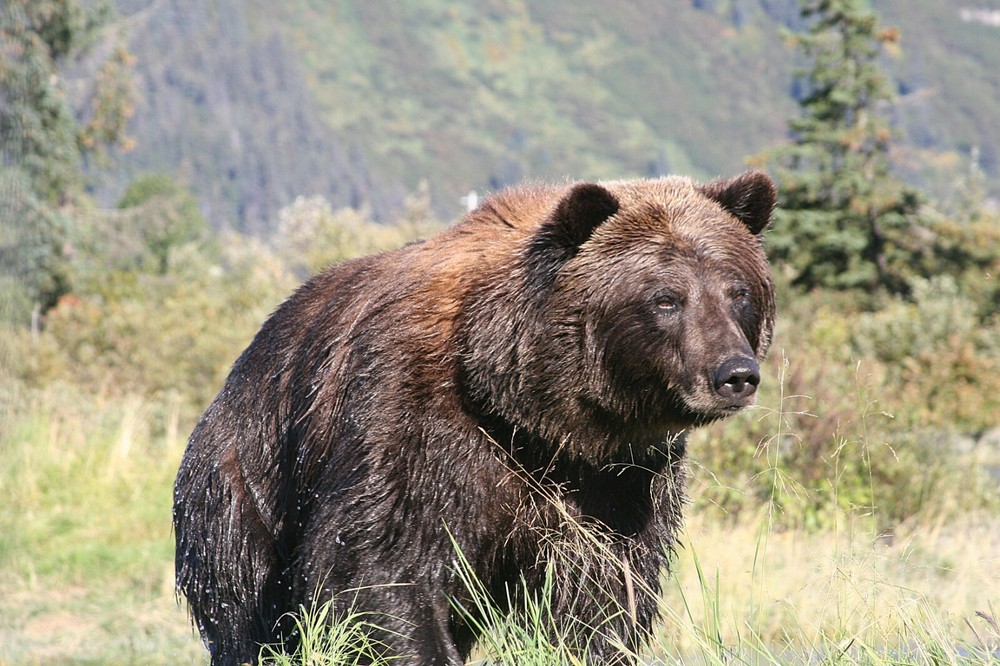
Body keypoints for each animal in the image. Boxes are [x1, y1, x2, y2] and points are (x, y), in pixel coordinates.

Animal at [173, 170, 777, 665]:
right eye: (665, 298)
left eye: (737, 291)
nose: (735, 373)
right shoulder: (415, 427)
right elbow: (377, 566)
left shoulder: (618, 478)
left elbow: (605, 593)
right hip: (245, 483)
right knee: (251, 611)